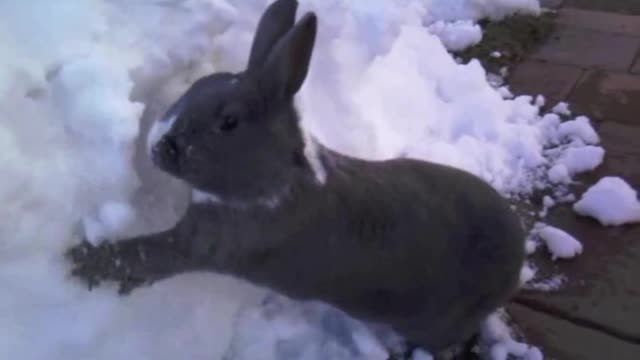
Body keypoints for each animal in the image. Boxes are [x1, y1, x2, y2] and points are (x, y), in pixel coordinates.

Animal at [67, 0, 524, 354]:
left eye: (229, 122)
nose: (157, 146)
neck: (274, 181)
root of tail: (515, 262)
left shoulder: (206, 244)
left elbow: (146, 253)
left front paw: (81, 262)